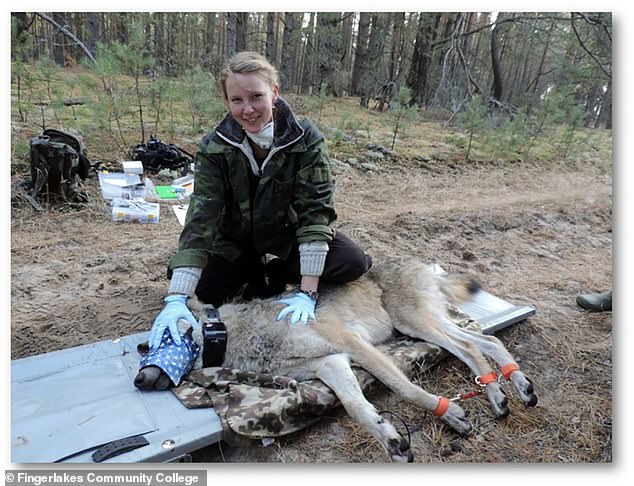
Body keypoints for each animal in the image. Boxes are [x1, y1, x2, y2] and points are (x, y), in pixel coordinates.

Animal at [136, 256, 536, 462]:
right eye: (147, 346)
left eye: (158, 341)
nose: (138, 379)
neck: (240, 334)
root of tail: (424, 264)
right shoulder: (331, 363)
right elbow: (357, 408)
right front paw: (391, 439)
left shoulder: (352, 345)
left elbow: (402, 388)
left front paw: (448, 412)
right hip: (422, 325)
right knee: (482, 341)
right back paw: (511, 390)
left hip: (411, 322)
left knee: (471, 345)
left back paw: (502, 392)